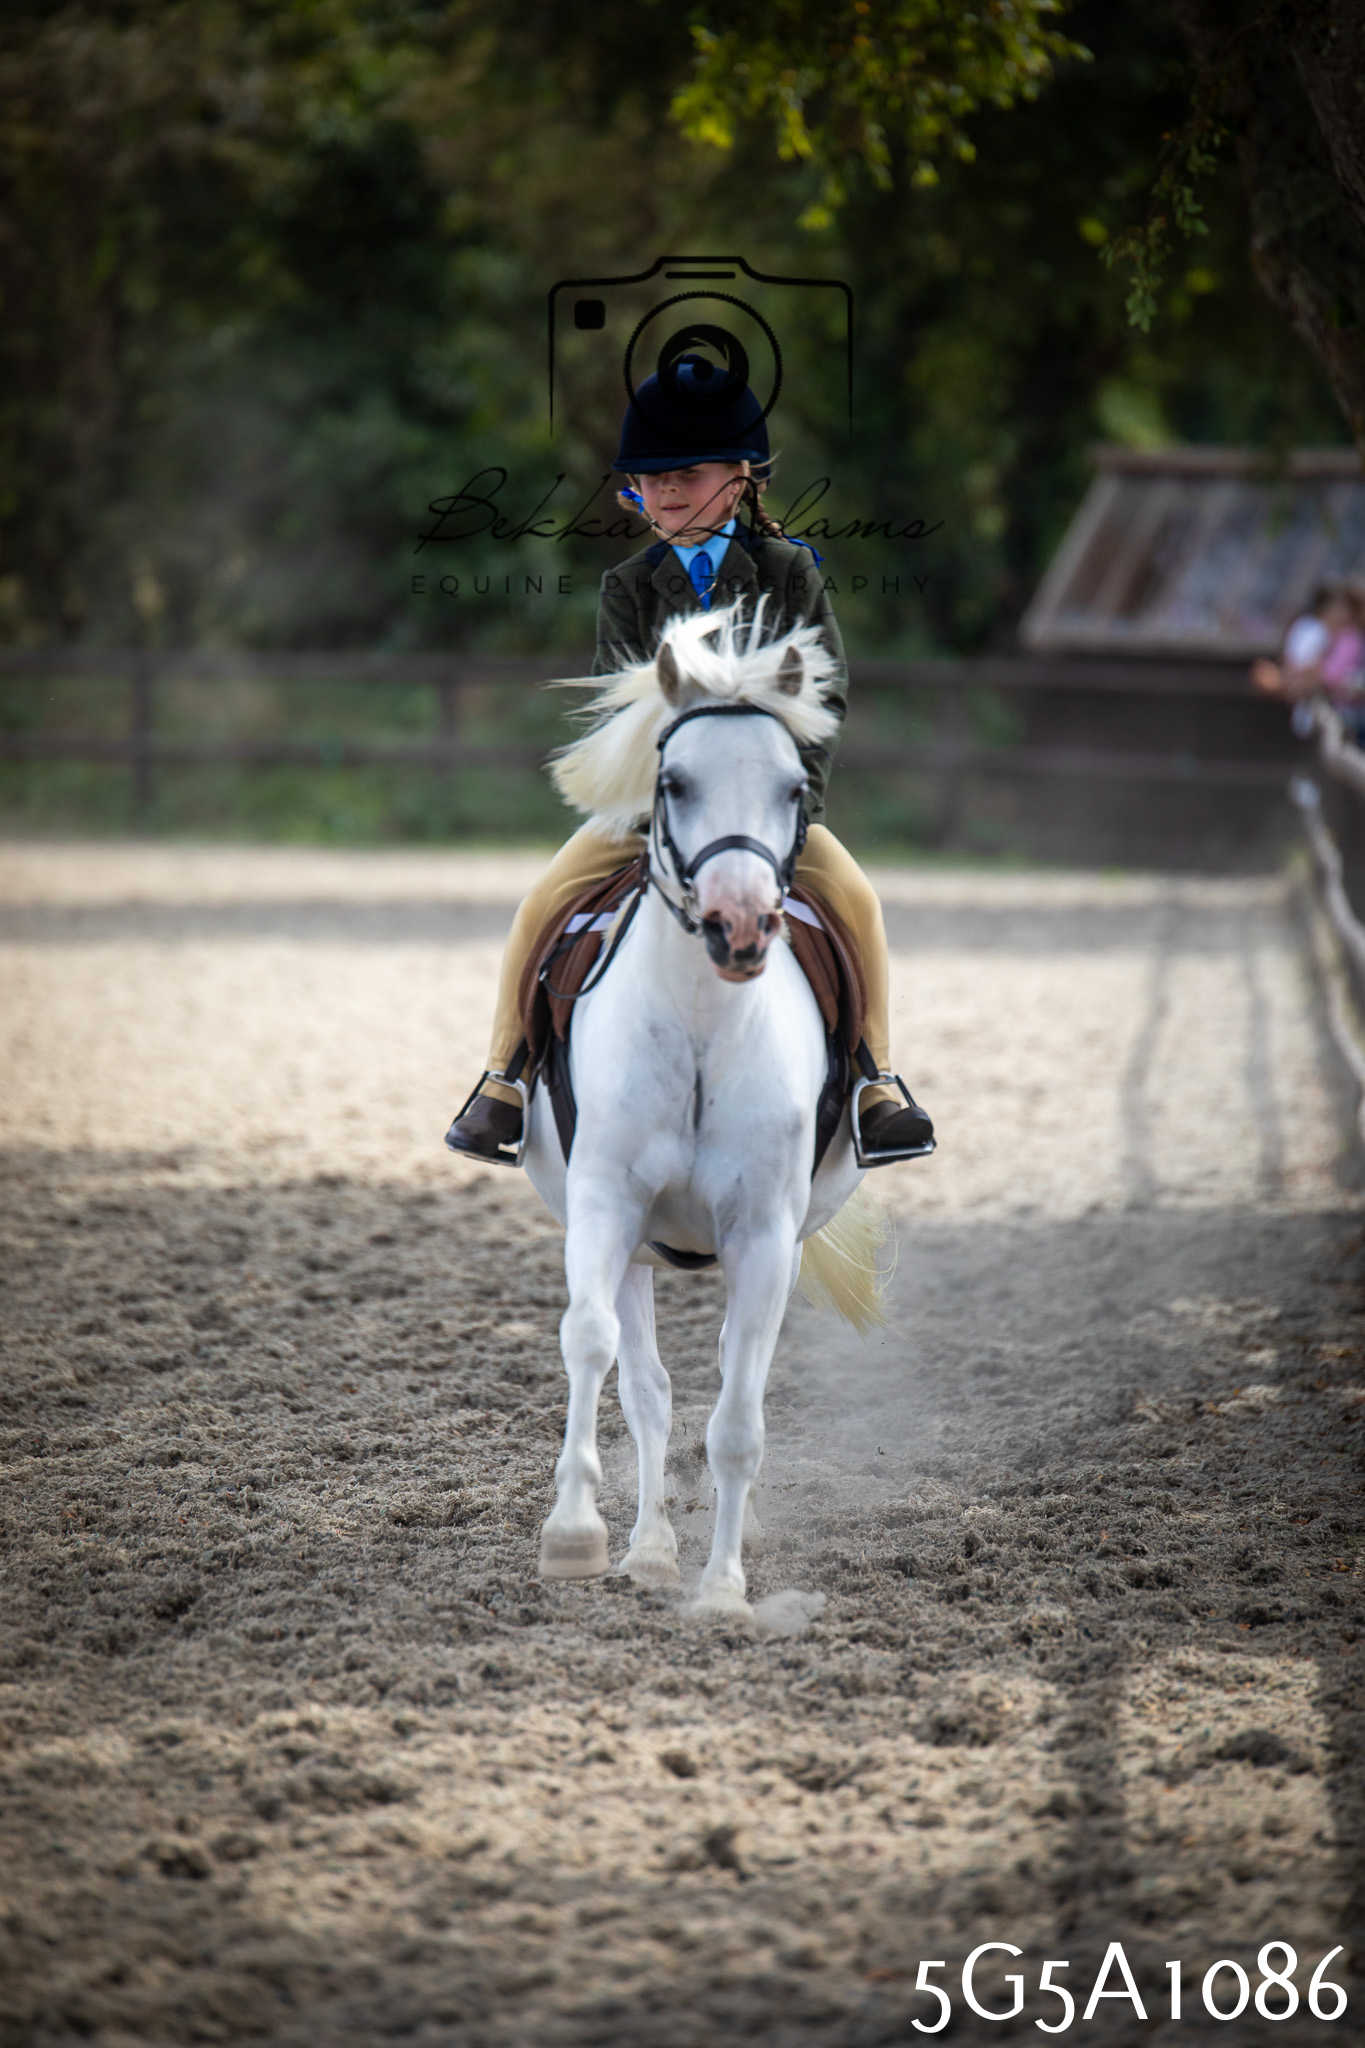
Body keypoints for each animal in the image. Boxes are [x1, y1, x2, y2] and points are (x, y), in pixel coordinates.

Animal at [520, 602, 888, 1616]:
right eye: (673, 782)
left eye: (794, 785)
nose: (739, 924)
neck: (698, 1025)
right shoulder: (605, 1209)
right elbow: (592, 1345)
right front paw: (575, 1534)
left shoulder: (762, 1237)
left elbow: (738, 1422)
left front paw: (723, 1590)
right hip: (638, 1248)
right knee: (646, 1389)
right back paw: (646, 1551)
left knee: (729, 1379)